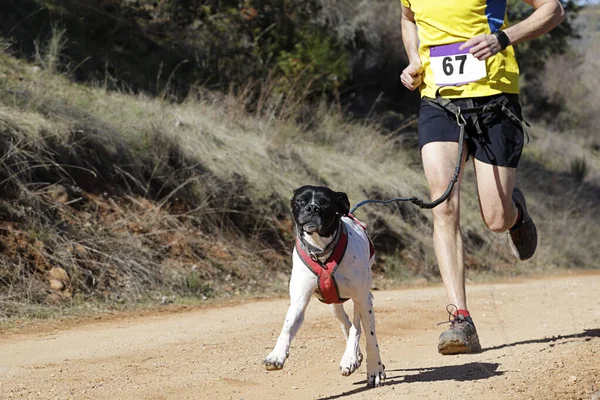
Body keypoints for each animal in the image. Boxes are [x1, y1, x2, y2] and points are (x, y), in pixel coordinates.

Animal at [264, 186, 386, 390]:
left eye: (326, 203)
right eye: (300, 200)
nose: (312, 208)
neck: (321, 253)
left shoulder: (363, 299)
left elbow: (370, 337)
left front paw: (375, 370)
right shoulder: (299, 301)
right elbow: (287, 326)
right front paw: (276, 355)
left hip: (362, 298)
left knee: (356, 325)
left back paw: (350, 357)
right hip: (334, 305)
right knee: (348, 324)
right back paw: (353, 356)